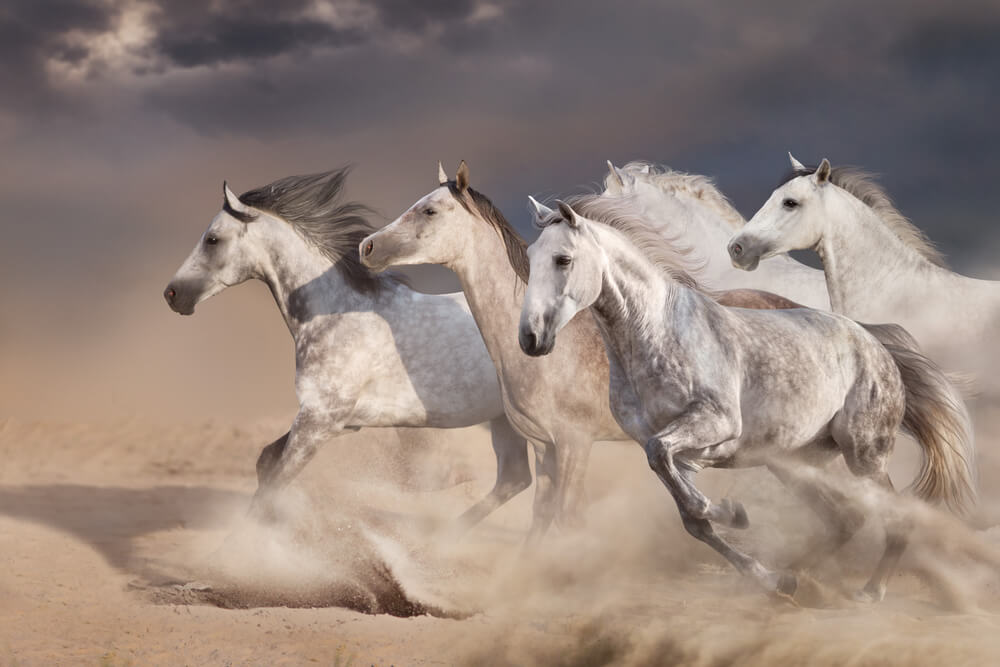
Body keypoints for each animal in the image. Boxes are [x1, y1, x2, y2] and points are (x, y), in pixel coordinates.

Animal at [164, 167, 533, 529]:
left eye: (212, 239)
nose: (172, 294)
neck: (338, 313)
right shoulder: (328, 420)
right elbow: (266, 461)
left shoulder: (319, 421)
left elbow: (275, 478)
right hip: (504, 420)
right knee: (514, 479)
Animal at [518, 198, 975, 600]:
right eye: (532, 256)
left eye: (563, 259)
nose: (531, 338)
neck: (655, 333)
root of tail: (874, 343)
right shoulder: (685, 454)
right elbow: (691, 518)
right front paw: (765, 572)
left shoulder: (711, 425)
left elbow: (670, 470)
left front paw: (732, 513)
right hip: (795, 462)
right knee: (845, 517)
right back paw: (795, 577)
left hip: (864, 455)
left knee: (895, 514)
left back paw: (870, 590)